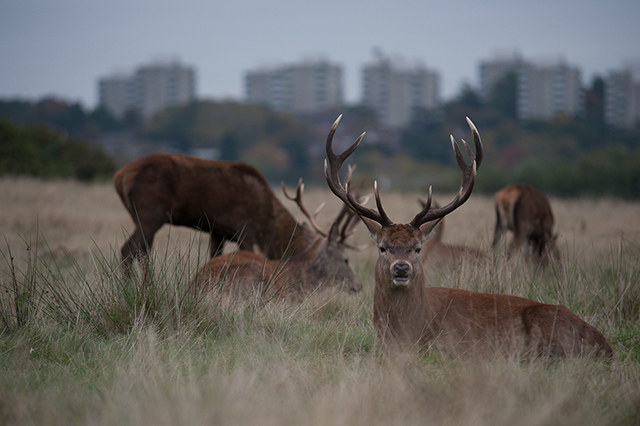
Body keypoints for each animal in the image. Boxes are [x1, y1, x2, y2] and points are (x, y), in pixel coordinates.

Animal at [114, 155, 318, 274]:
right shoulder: (245, 229)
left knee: (143, 252)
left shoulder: (218, 231)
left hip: (142, 217)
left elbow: (214, 258)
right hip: (150, 213)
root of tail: (120, 177)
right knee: (128, 250)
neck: (267, 223)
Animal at [324, 114, 616, 360]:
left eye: (417, 248)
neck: (414, 330)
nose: (401, 268)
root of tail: (607, 345)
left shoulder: (453, 347)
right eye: (383, 247)